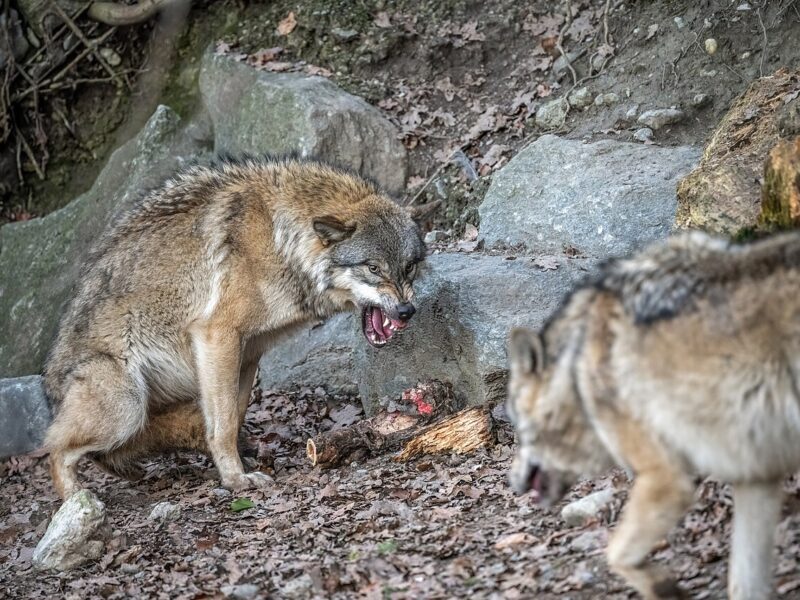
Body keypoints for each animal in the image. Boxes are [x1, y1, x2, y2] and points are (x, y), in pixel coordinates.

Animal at [43, 157, 428, 499]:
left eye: (408, 267)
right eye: (373, 268)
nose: (407, 311)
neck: (281, 241)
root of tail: (51, 384)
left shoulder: (249, 352)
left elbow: (234, 414)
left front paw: (236, 466)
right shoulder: (218, 336)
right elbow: (225, 424)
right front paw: (236, 480)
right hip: (127, 406)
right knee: (54, 446)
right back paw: (76, 503)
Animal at [506, 230, 800, 600]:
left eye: (516, 427)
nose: (510, 482)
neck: (574, 370)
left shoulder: (666, 479)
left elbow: (615, 553)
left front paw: (665, 587)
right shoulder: (755, 473)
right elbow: (744, 582)